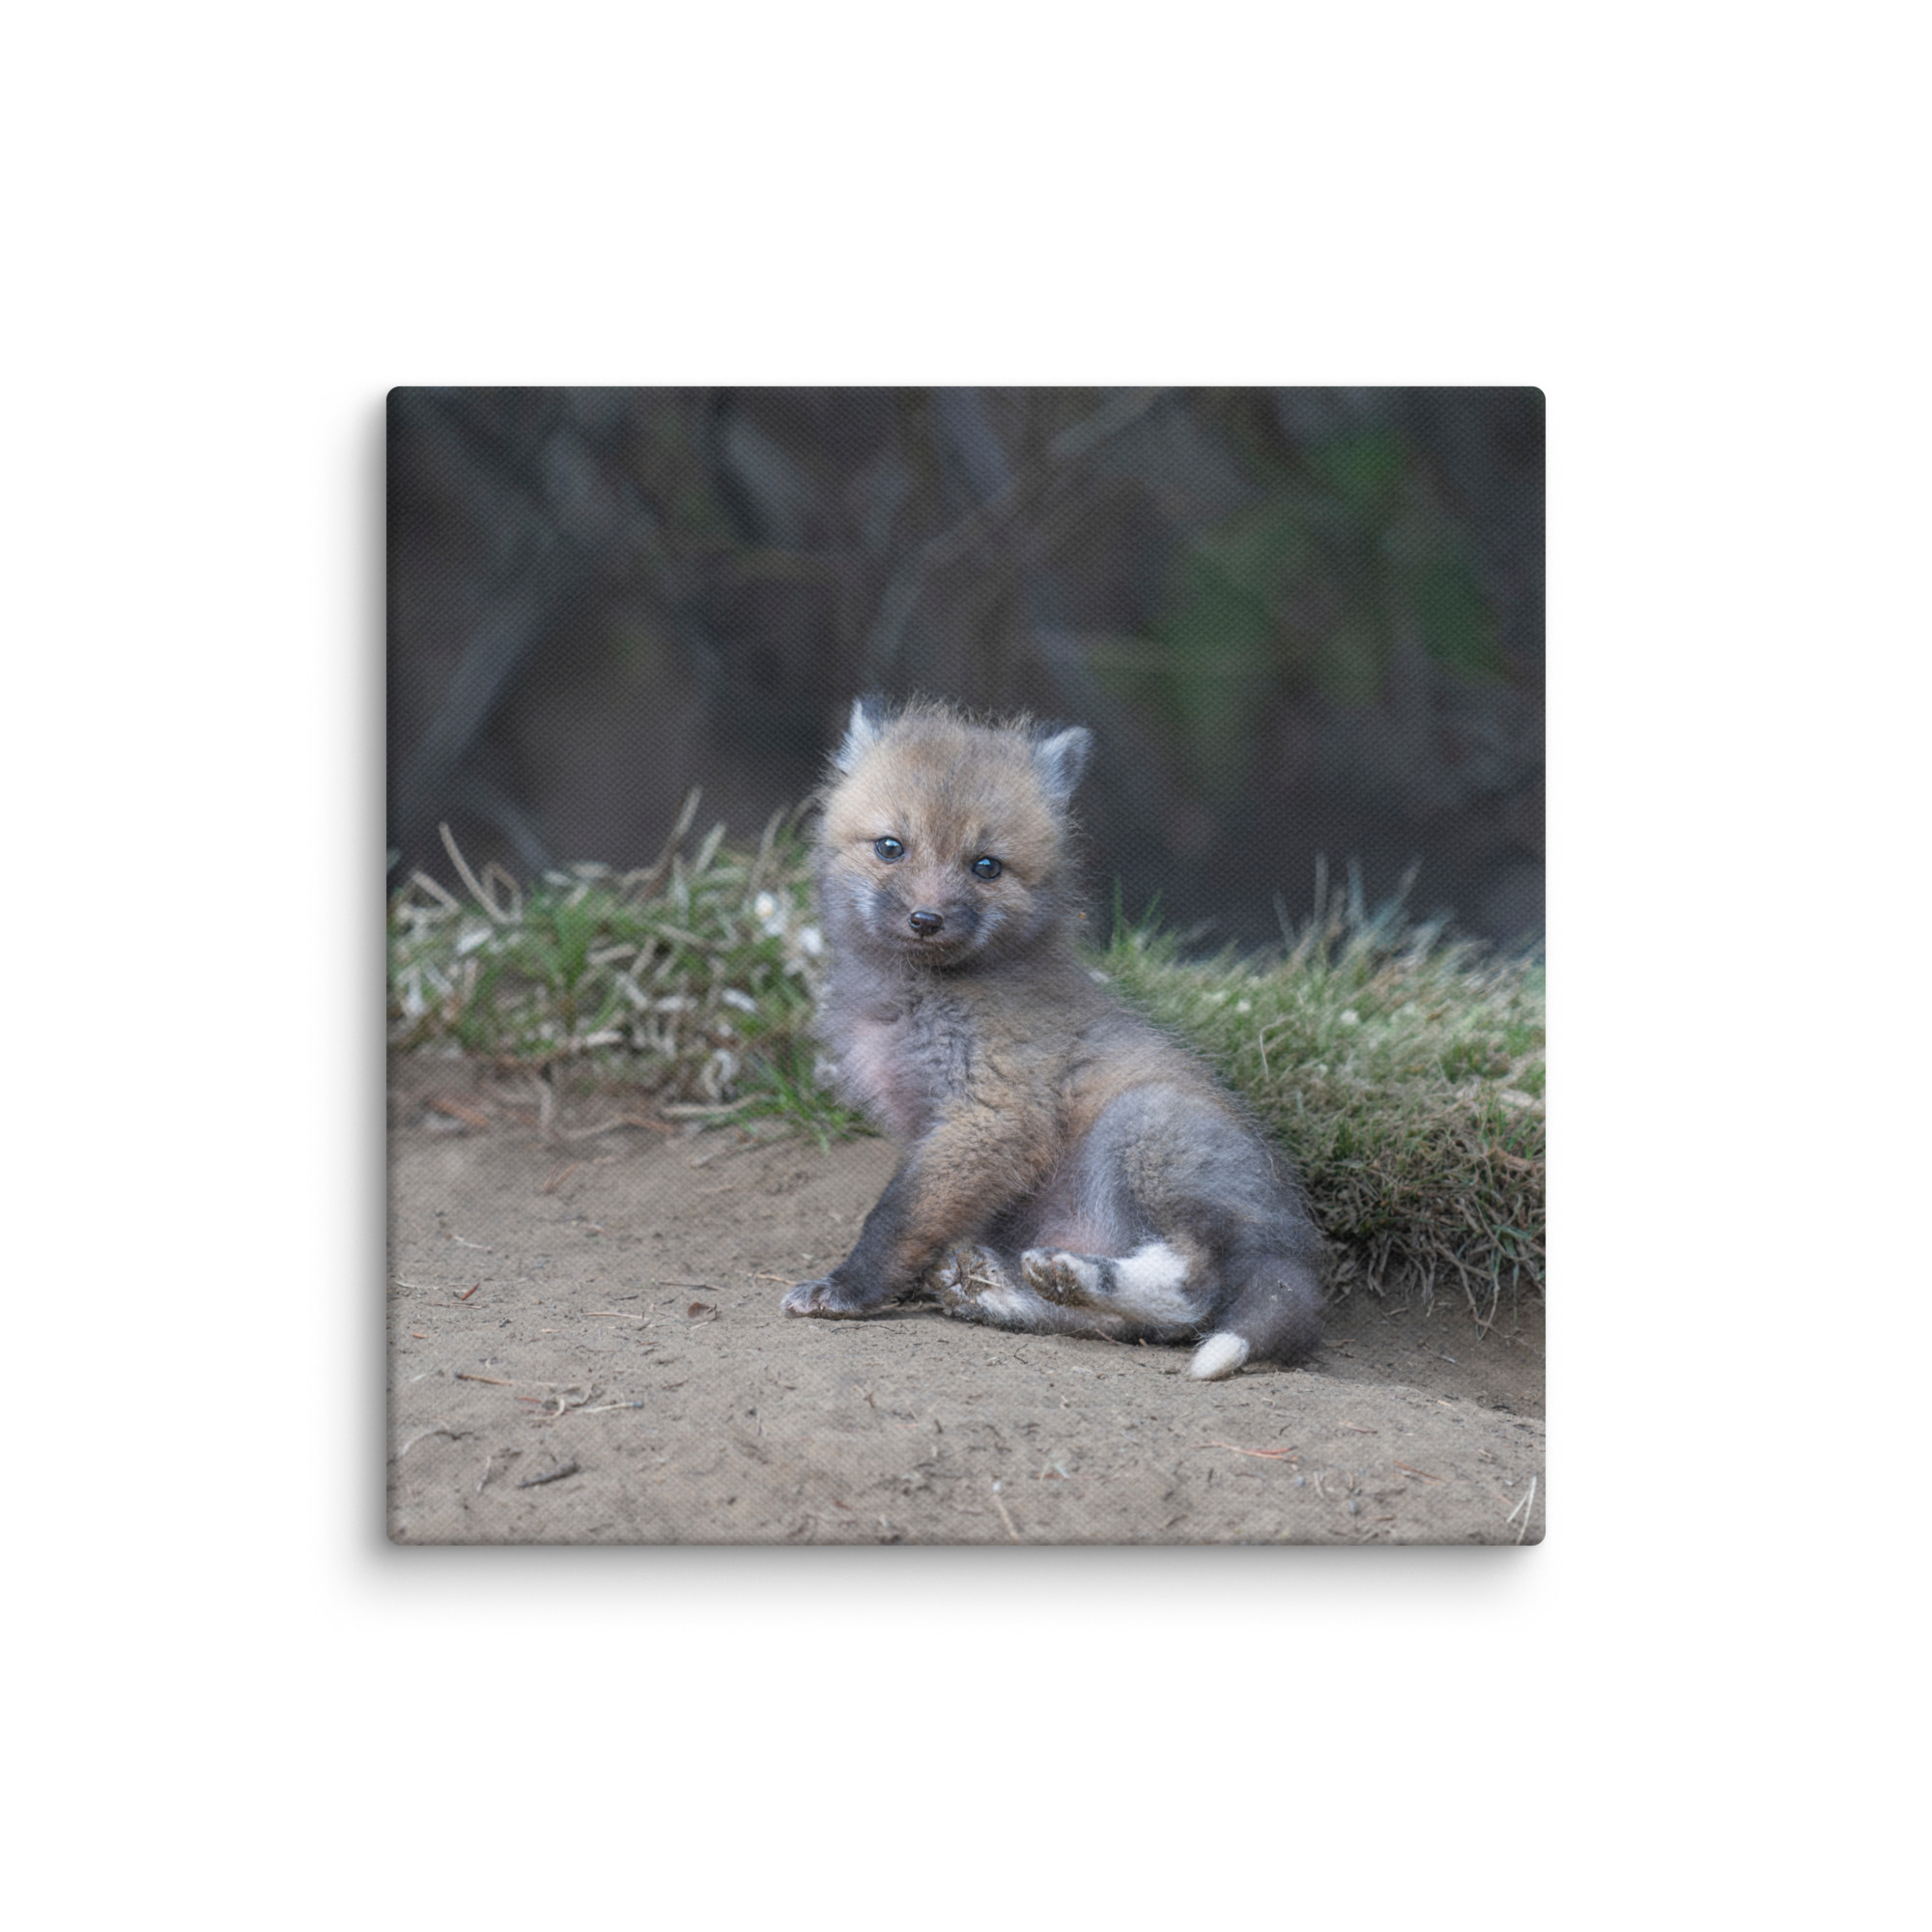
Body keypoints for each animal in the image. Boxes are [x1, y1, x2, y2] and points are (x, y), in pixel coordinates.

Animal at [781, 697, 1324, 1380]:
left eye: (986, 866)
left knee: (1192, 1290)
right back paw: (1004, 1290)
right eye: (890, 848)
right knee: (1131, 1326)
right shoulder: (935, 1129)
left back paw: (1072, 1275)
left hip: (1142, 1126)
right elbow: (922, 1217)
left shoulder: (993, 1114)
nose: (926, 920)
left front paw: (849, 1289)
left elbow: (897, 1217)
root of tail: (1296, 1246)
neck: (916, 998)